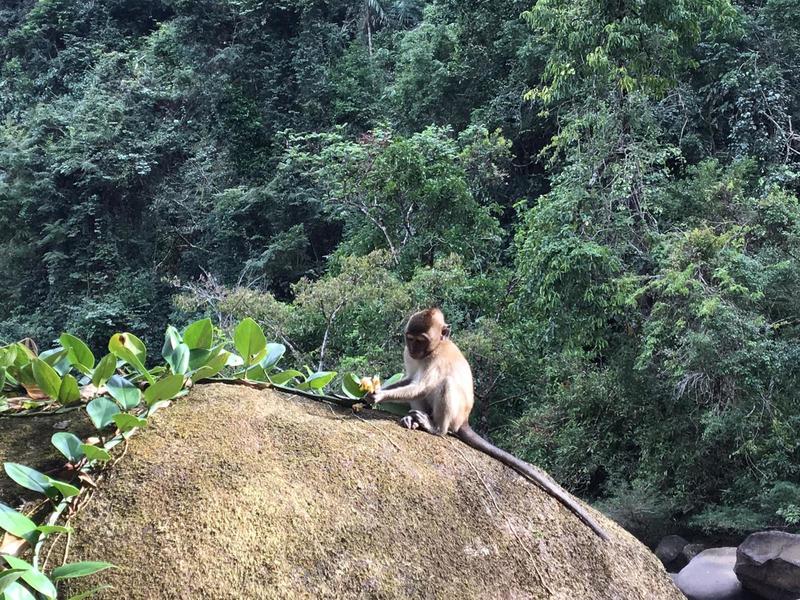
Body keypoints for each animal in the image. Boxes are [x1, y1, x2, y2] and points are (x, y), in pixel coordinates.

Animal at [366, 310, 608, 544]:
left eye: (421, 340)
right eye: (410, 339)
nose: (414, 349)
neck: (432, 351)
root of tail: (464, 421)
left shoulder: (436, 358)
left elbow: (420, 386)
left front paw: (379, 395)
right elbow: (409, 380)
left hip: (454, 417)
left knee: (444, 385)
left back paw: (435, 428)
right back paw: (414, 420)